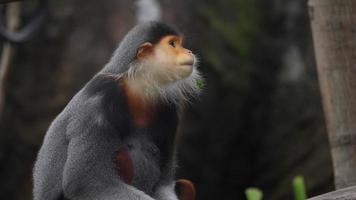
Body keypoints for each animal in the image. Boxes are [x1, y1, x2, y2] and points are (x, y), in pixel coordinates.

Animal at [33, 21, 203, 200]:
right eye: (173, 44)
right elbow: (86, 183)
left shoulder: (169, 109)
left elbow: (163, 185)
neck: (136, 89)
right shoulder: (100, 97)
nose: (189, 51)